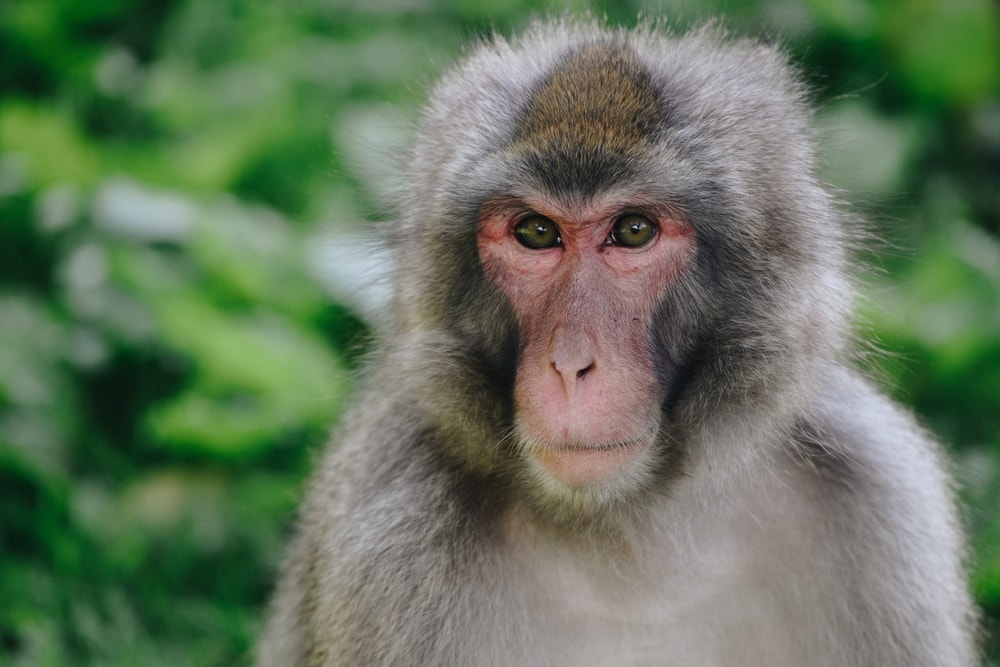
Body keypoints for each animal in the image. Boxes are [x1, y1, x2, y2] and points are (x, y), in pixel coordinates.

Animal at [256, 19, 978, 667]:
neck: (629, 531)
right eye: (536, 232)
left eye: (633, 231)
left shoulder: (877, 501)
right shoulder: (391, 543)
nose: (571, 364)